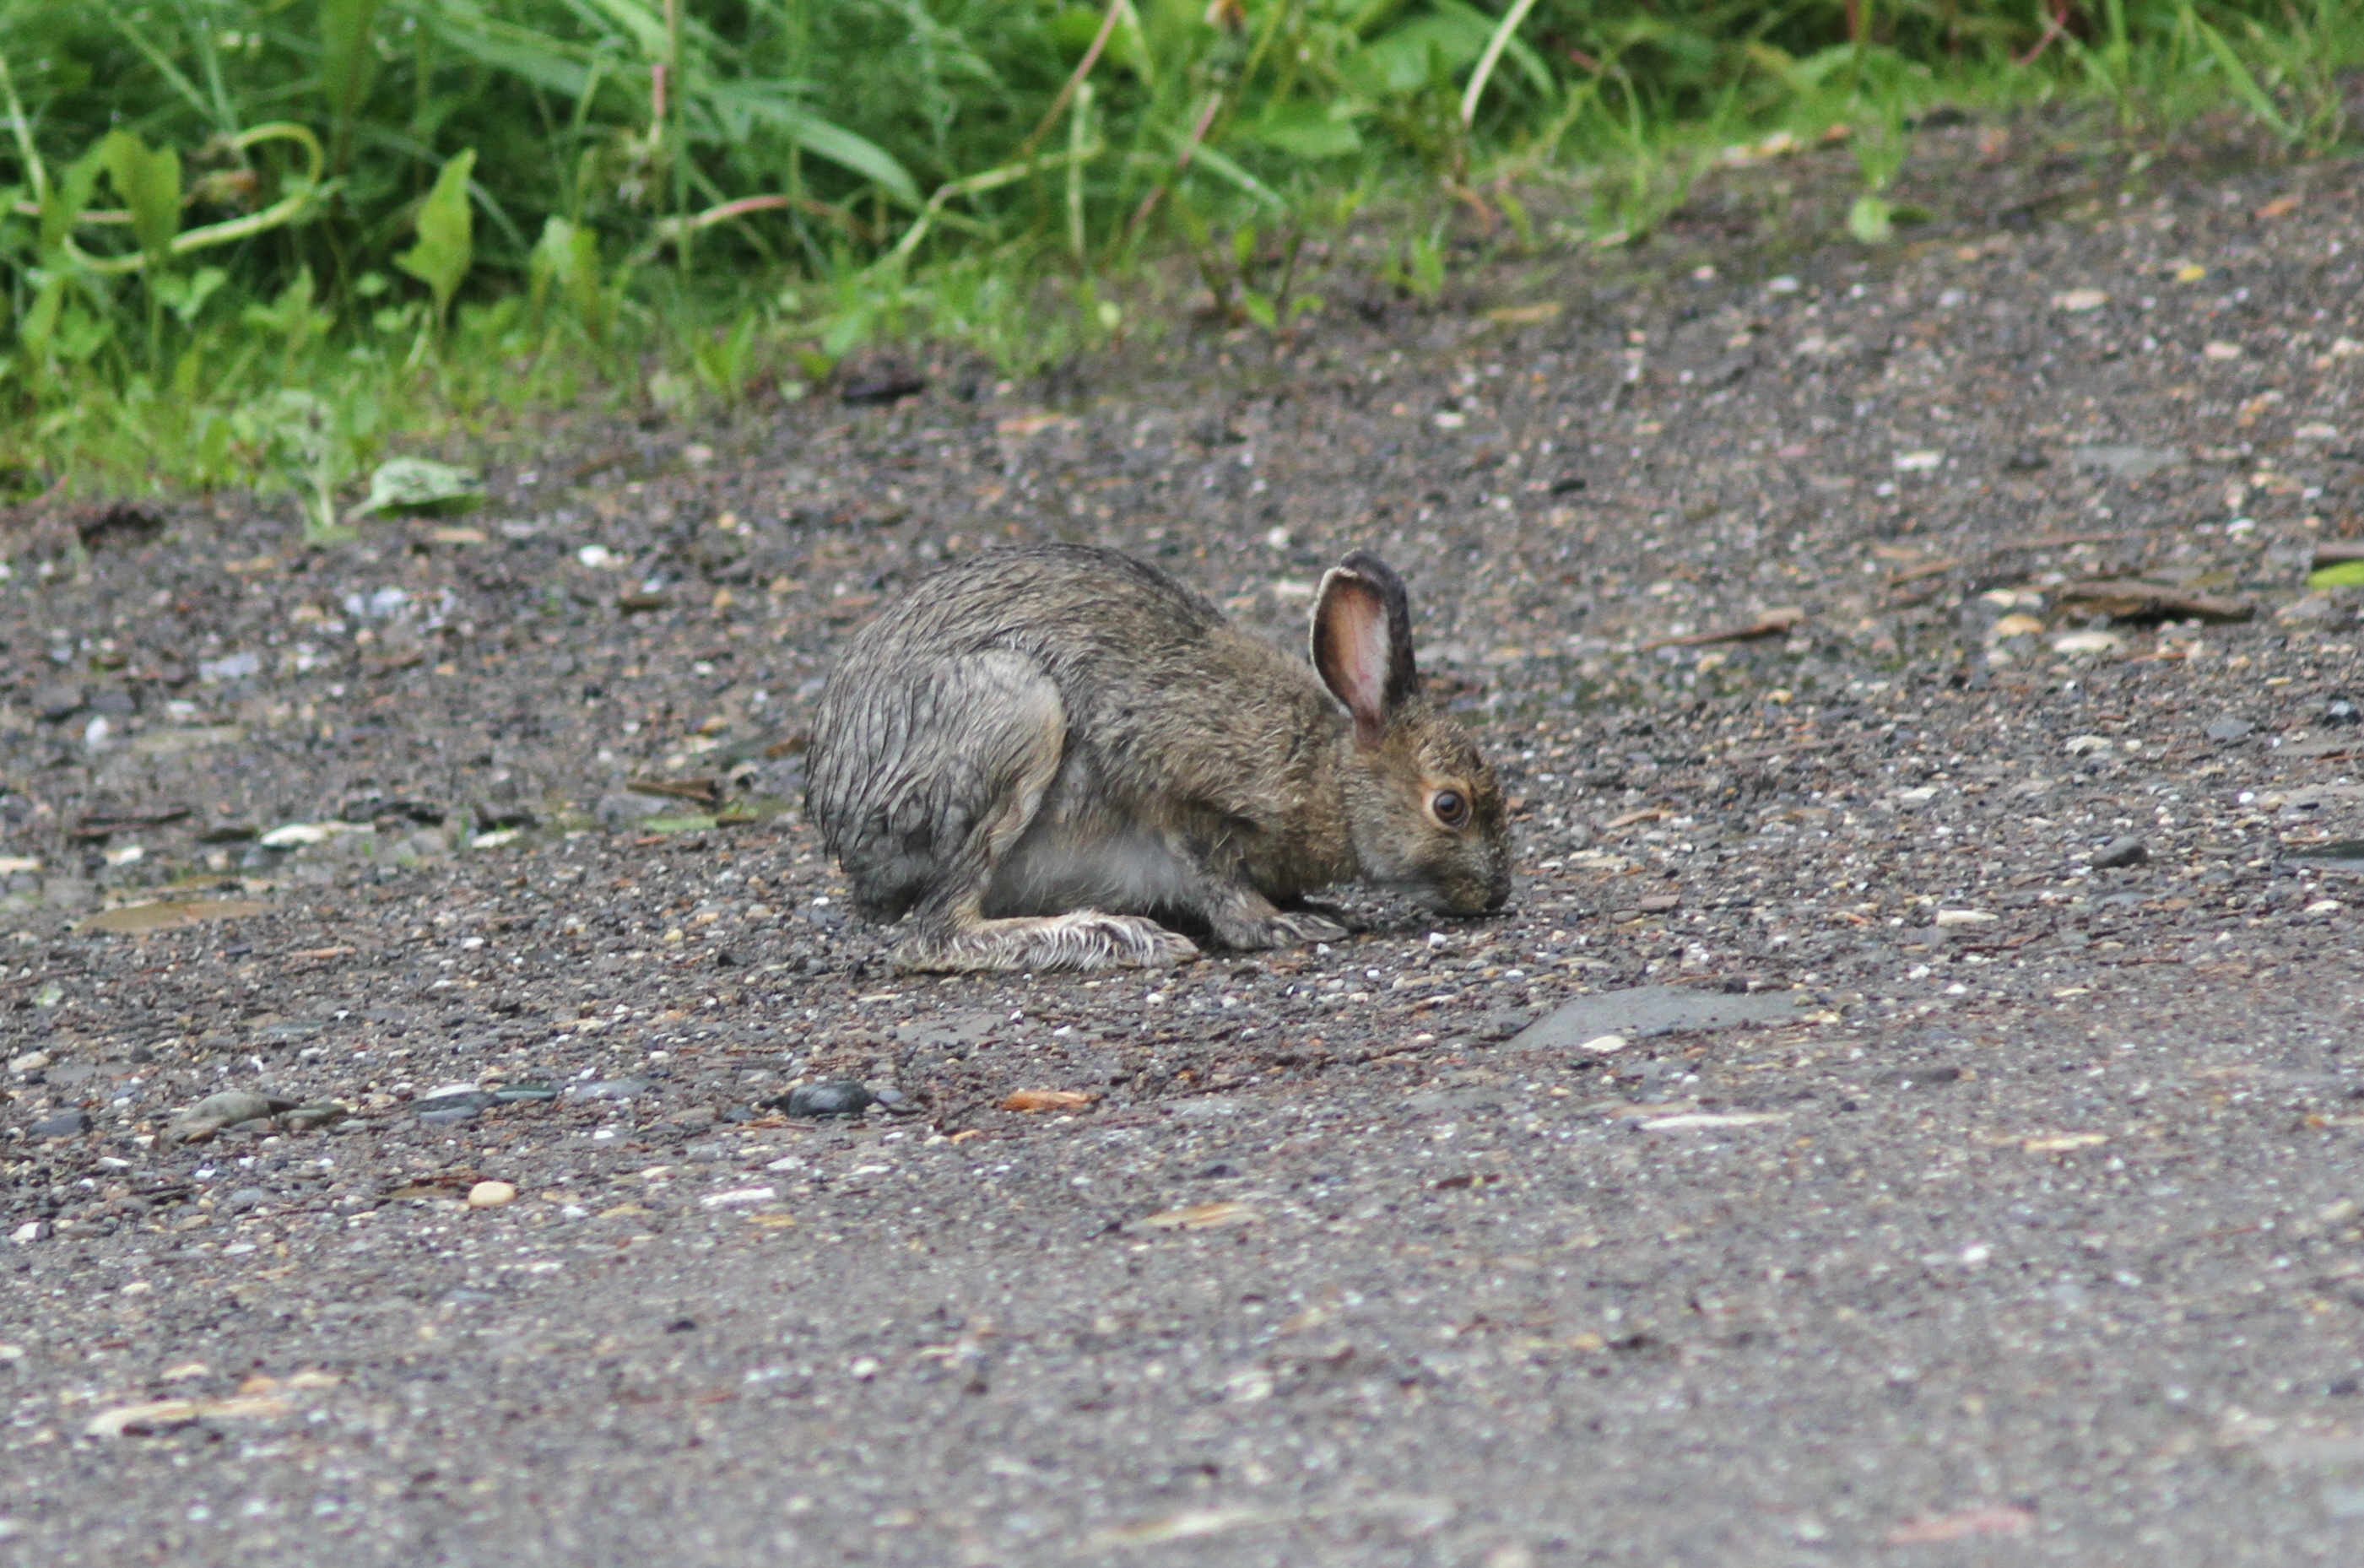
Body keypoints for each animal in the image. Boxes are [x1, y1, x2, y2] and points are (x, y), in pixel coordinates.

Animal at [805, 542, 1509, 973]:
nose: (1495, 894)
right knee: (935, 931)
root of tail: (842, 813)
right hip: (1017, 720)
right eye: (1450, 806)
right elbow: (1216, 878)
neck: (1330, 780)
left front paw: (1317, 910)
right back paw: (1111, 936)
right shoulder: (1172, 787)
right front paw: (1281, 927)